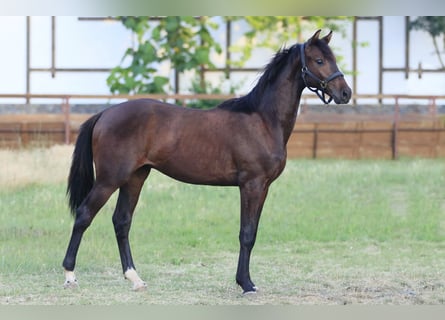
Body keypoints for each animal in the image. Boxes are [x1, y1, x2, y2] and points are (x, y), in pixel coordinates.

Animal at [61, 28, 350, 294]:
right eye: (319, 60)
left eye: (333, 58)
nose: (345, 93)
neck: (263, 120)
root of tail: (105, 114)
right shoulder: (251, 185)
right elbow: (246, 234)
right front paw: (246, 284)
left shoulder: (263, 187)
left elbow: (253, 233)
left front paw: (246, 281)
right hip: (109, 179)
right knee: (84, 216)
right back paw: (70, 275)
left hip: (135, 177)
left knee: (121, 221)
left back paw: (135, 278)